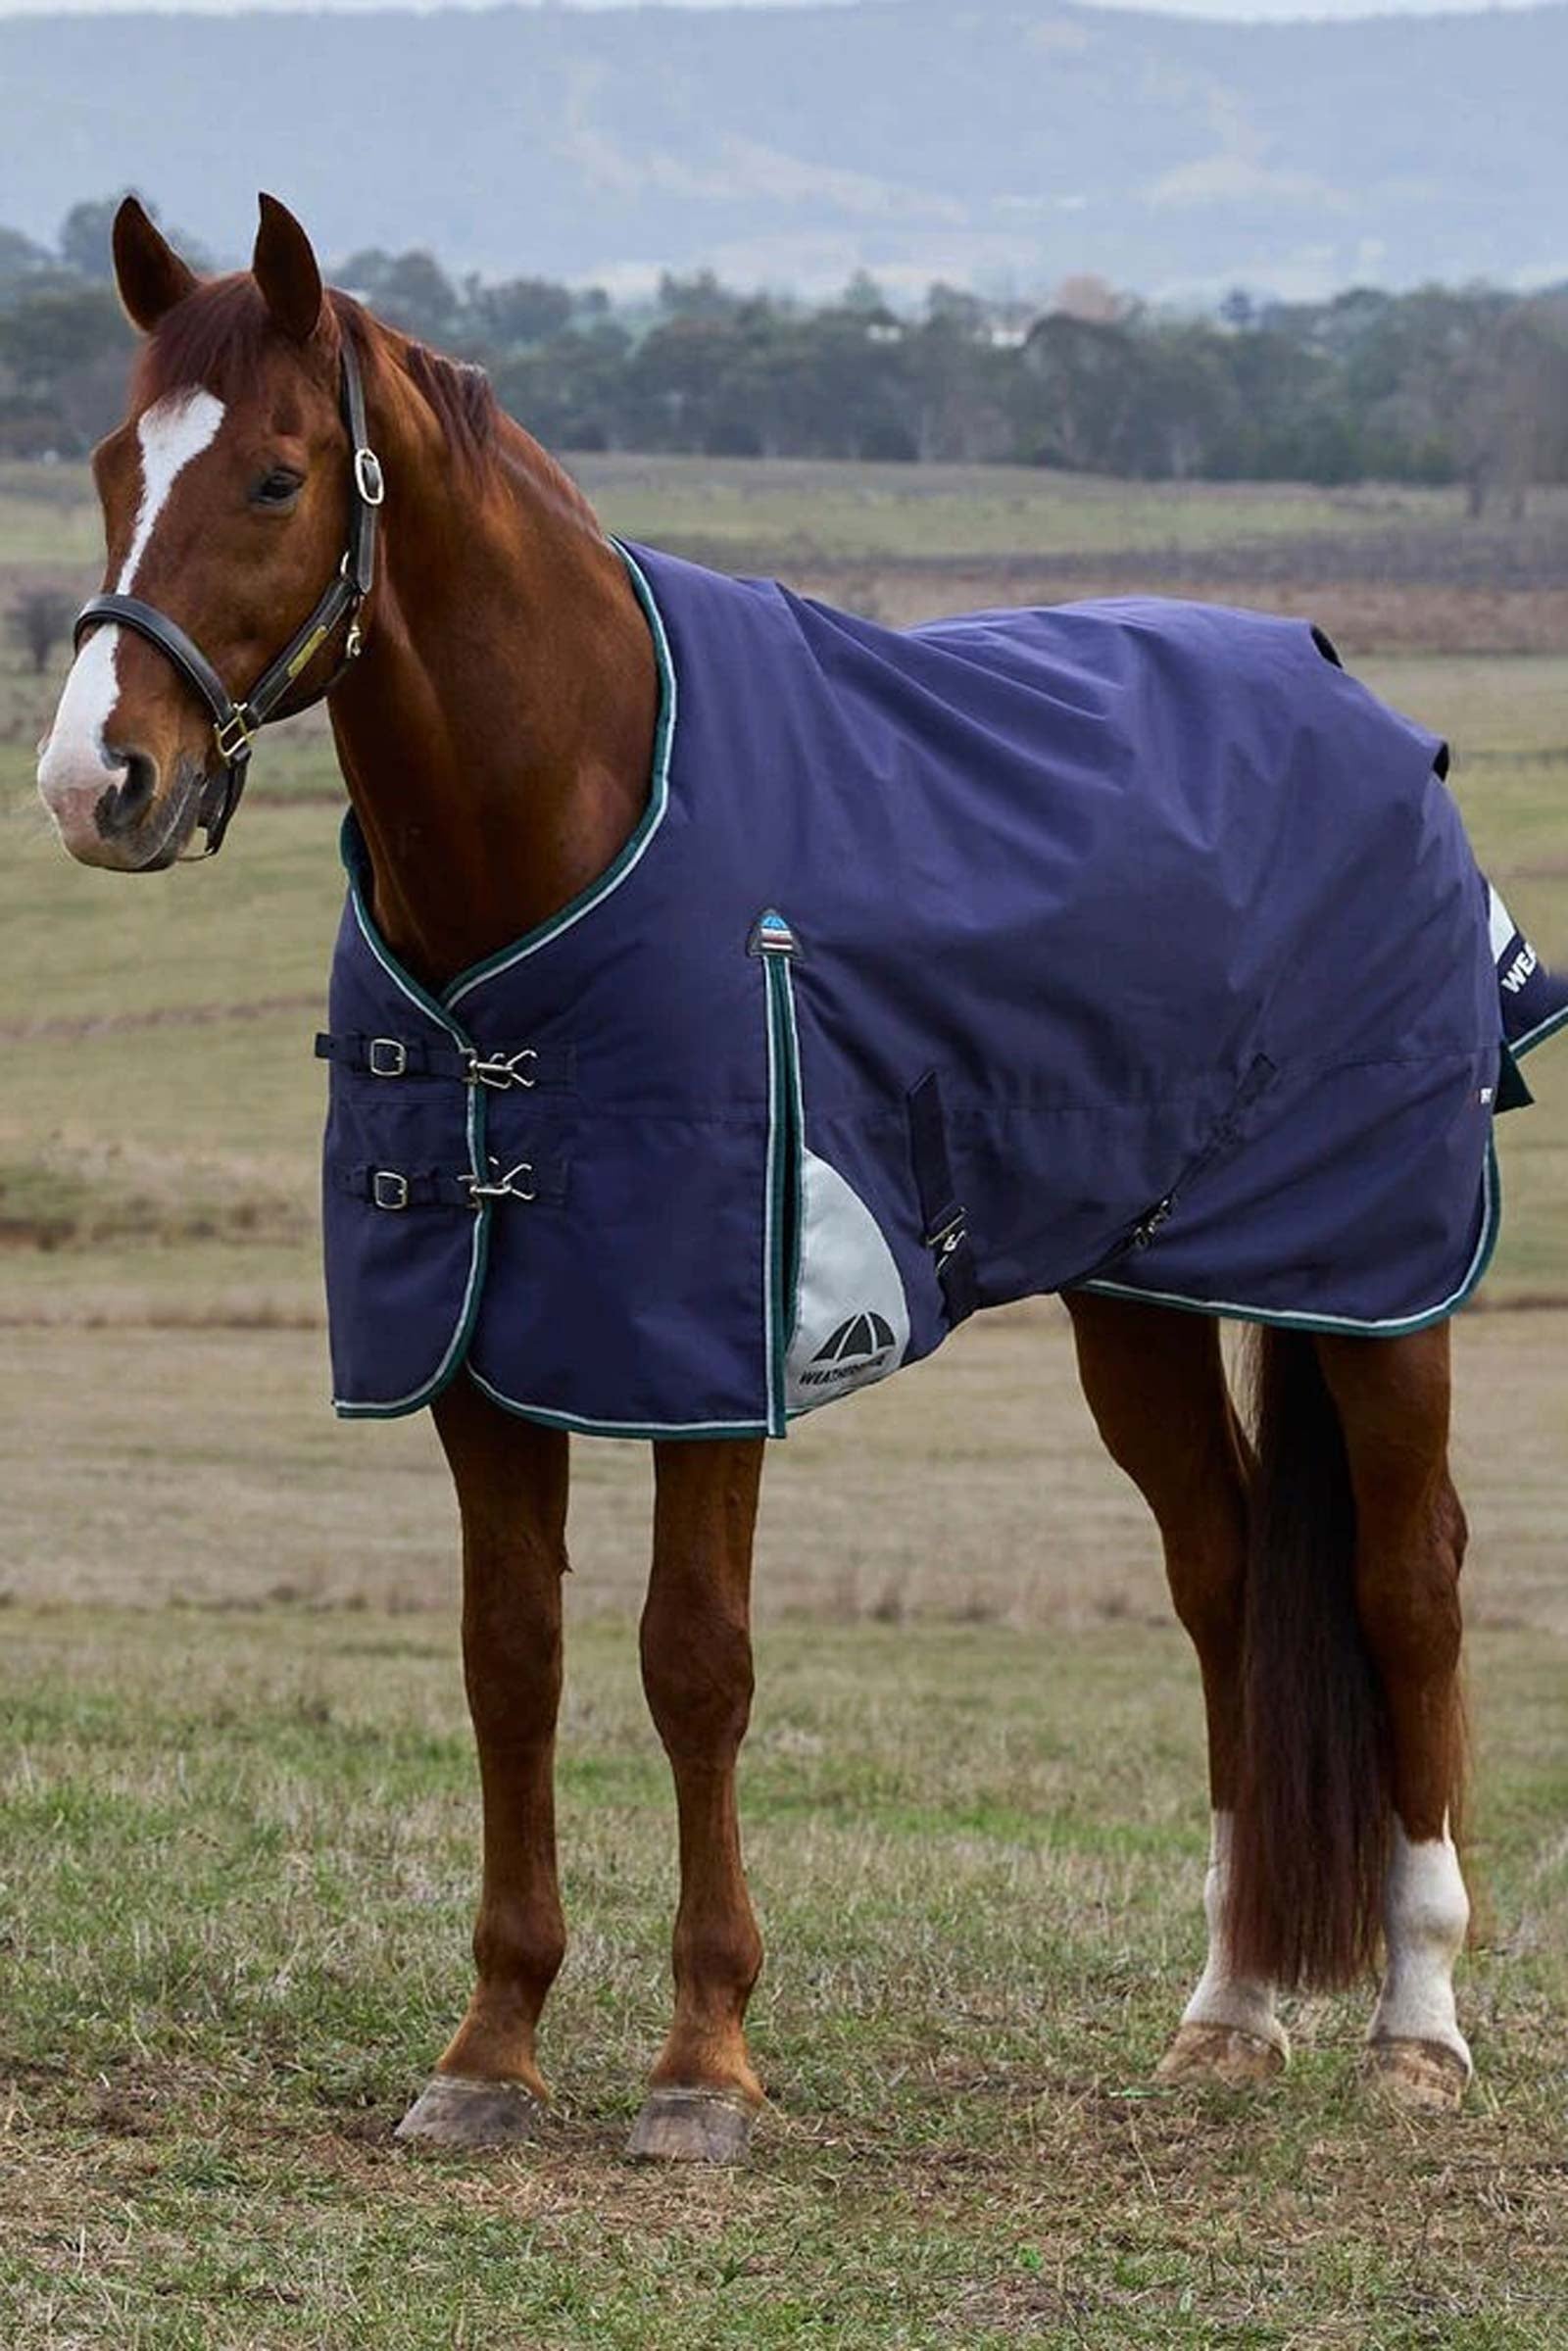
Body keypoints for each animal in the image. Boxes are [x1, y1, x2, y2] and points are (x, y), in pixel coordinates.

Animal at [35, 194, 1564, 2164]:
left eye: (279, 476)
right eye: (107, 465)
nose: (96, 780)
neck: (578, 810)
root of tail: (1355, 705)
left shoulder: (713, 1352)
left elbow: (696, 1661)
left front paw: (703, 2061)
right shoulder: (481, 1351)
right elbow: (509, 1659)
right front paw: (491, 2047)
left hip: (1377, 1285)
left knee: (1406, 1582)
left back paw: (1417, 2019)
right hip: (1141, 1297)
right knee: (1226, 1577)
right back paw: (1228, 2005)